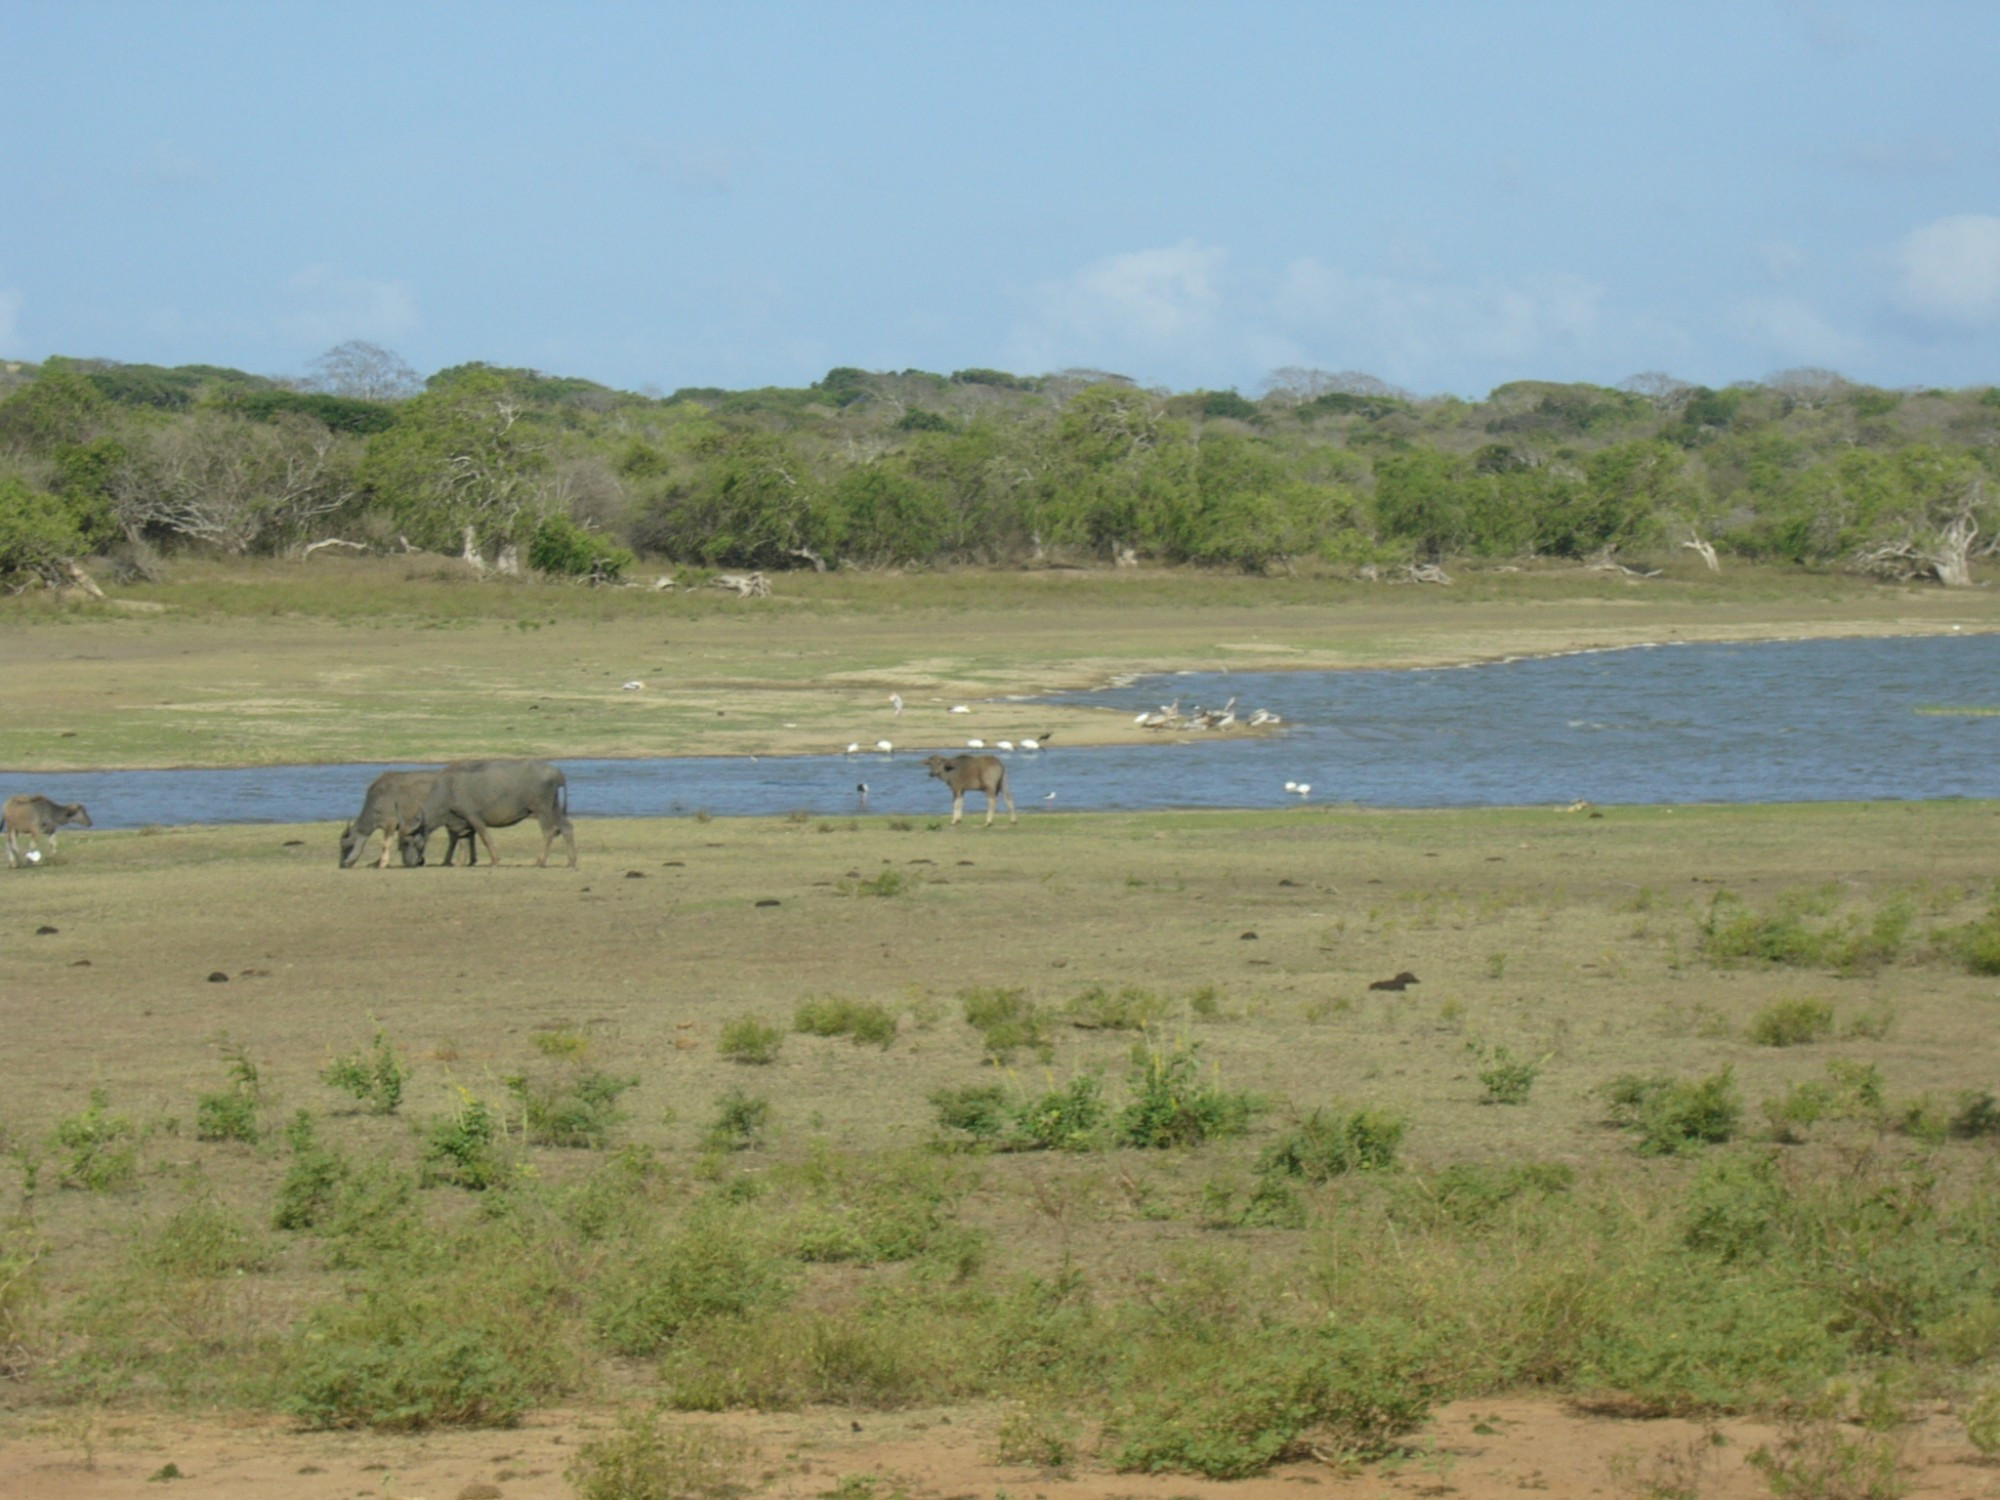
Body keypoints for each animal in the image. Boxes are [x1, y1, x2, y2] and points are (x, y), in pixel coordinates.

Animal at [340, 768, 476, 876]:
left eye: (346, 846)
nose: (342, 865)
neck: (375, 801)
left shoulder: (390, 823)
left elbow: (385, 844)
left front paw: (382, 863)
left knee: (457, 836)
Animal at [408, 764, 576, 868]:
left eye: (411, 842)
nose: (411, 862)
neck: (448, 789)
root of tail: (557, 773)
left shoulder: (473, 817)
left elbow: (484, 837)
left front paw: (495, 860)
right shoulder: (461, 822)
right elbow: (463, 839)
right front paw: (461, 862)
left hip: (542, 810)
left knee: (549, 832)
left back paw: (540, 861)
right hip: (554, 807)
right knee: (566, 828)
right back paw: (571, 861)